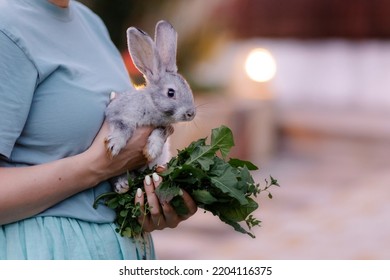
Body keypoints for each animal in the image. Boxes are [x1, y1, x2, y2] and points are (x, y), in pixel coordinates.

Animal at [104, 20, 195, 194]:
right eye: (171, 92)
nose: (191, 113)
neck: (151, 105)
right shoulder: (116, 113)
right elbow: (123, 127)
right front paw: (114, 145)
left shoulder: (163, 126)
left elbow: (159, 132)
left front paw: (152, 150)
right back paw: (122, 186)